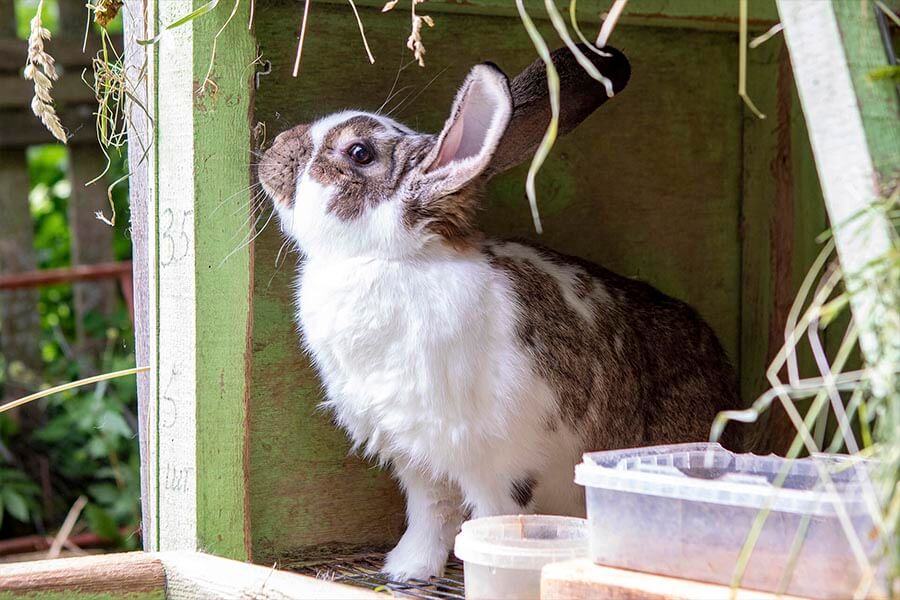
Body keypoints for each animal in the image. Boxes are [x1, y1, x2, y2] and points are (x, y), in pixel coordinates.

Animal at [258, 44, 741, 582]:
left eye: (359, 153)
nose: (274, 146)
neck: (396, 260)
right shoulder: (416, 456)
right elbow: (430, 515)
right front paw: (406, 571)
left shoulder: (498, 467)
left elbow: (493, 526)